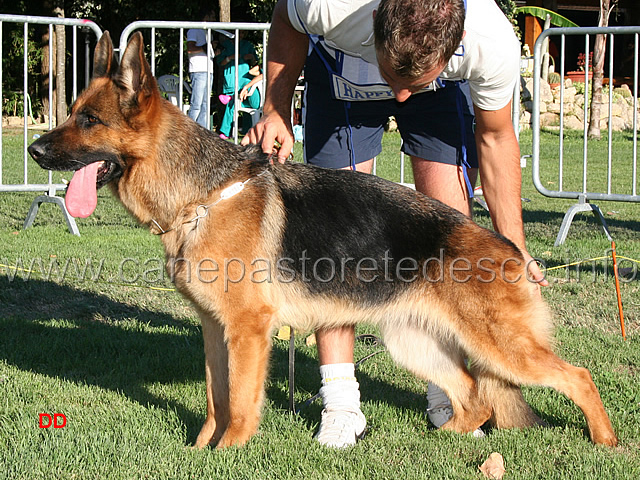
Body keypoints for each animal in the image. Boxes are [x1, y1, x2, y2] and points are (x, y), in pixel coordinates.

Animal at [27, 31, 616, 448]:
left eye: (89, 120)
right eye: (72, 114)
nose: (33, 151)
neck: (200, 195)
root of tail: (508, 249)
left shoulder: (247, 331)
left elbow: (240, 402)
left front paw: (228, 453)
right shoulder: (215, 330)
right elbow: (217, 399)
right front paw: (199, 452)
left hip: (501, 347)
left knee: (577, 377)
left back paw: (605, 440)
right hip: (414, 343)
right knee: (474, 397)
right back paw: (443, 439)